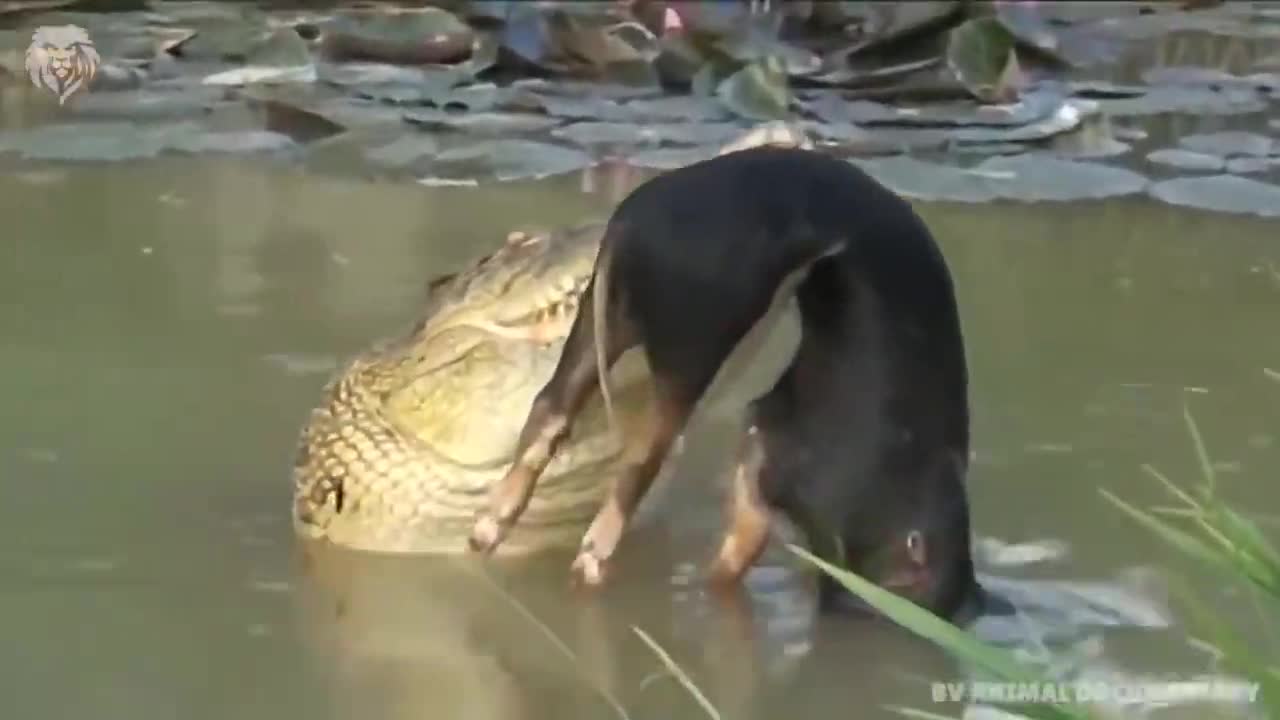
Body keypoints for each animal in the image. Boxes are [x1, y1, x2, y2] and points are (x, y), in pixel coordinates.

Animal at [471, 144, 977, 617]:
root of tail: (629, 217)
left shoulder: (759, 457)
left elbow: (732, 560)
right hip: (696, 343)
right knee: (643, 453)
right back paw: (591, 556)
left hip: (613, 319)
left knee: (551, 407)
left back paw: (489, 529)